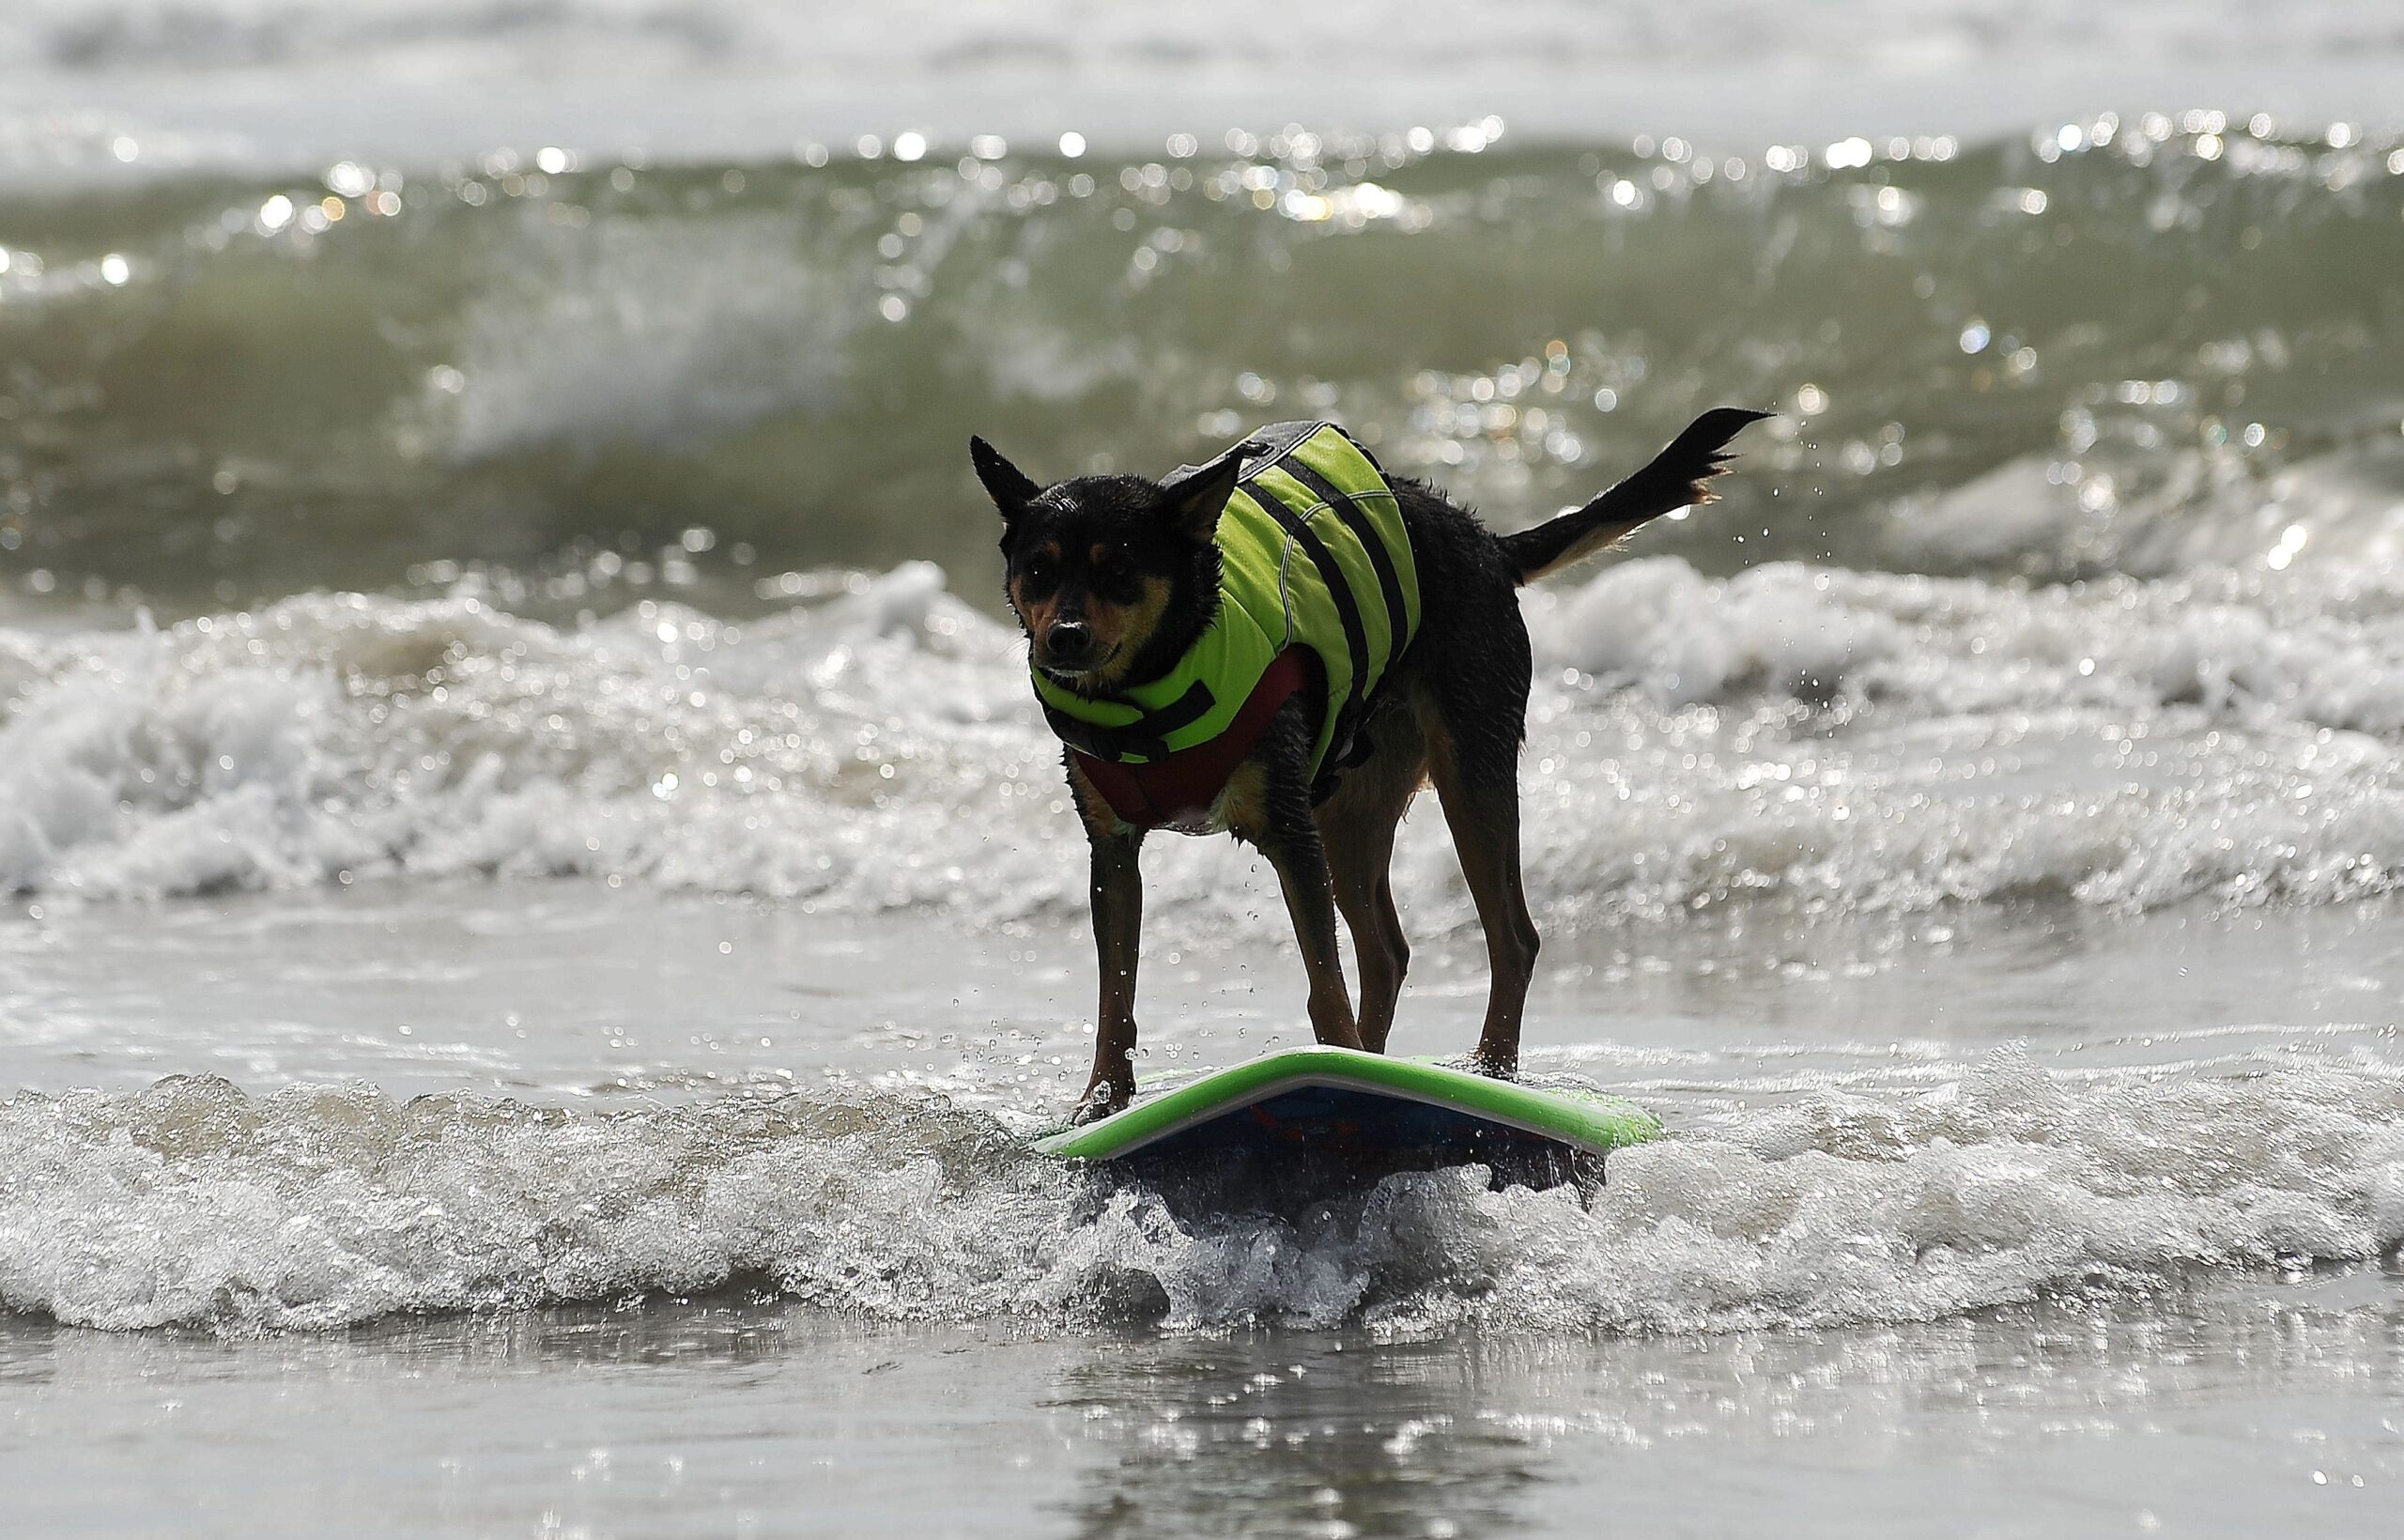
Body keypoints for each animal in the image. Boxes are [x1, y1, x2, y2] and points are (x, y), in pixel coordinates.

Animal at [966, 408, 1779, 1115]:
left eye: (1121, 571)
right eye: (1038, 571)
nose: (1064, 638)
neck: (1153, 681)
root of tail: (1488, 543)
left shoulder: (1288, 831)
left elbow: (1322, 978)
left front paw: (1333, 1061)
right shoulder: (1113, 849)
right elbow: (1116, 989)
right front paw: (1101, 1099)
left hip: (1468, 769)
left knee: (1511, 937)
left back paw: (1486, 1067)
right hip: (1348, 807)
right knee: (1387, 952)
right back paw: (1376, 1064)